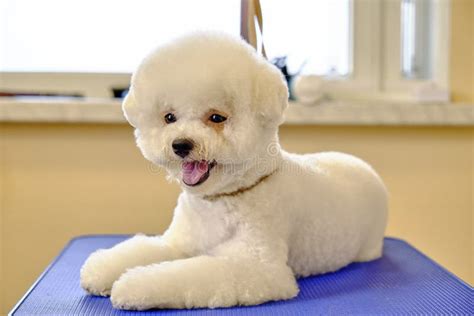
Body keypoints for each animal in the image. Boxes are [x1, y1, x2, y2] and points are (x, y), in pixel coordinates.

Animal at [79, 32, 386, 312]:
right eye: (169, 117)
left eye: (217, 117)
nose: (181, 145)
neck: (223, 198)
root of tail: (364, 166)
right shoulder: (181, 242)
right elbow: (146, 249)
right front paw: (102, 268)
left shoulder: (257, 266)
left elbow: (183, 275)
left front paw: (134, 285)